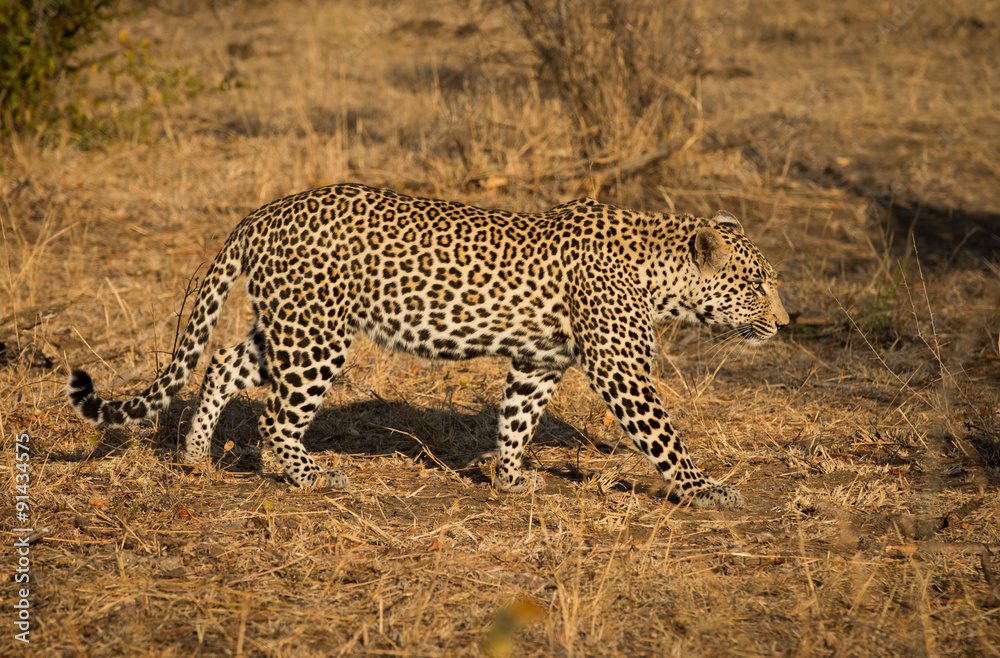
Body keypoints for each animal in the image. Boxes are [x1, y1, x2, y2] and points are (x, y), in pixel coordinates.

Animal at [67, 183, 789, 509]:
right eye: (757, 285)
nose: (787, 322)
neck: (659, 271)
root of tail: (265, 211)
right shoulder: (621, 371)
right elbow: (664, 437)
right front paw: (706, 491)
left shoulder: (539, 360)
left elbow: (518, 418)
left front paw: (510, 478)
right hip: (318, 337)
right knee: (275, 421)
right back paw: (309, 474)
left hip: (290, 327)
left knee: (220, 363)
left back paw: (194, 456)